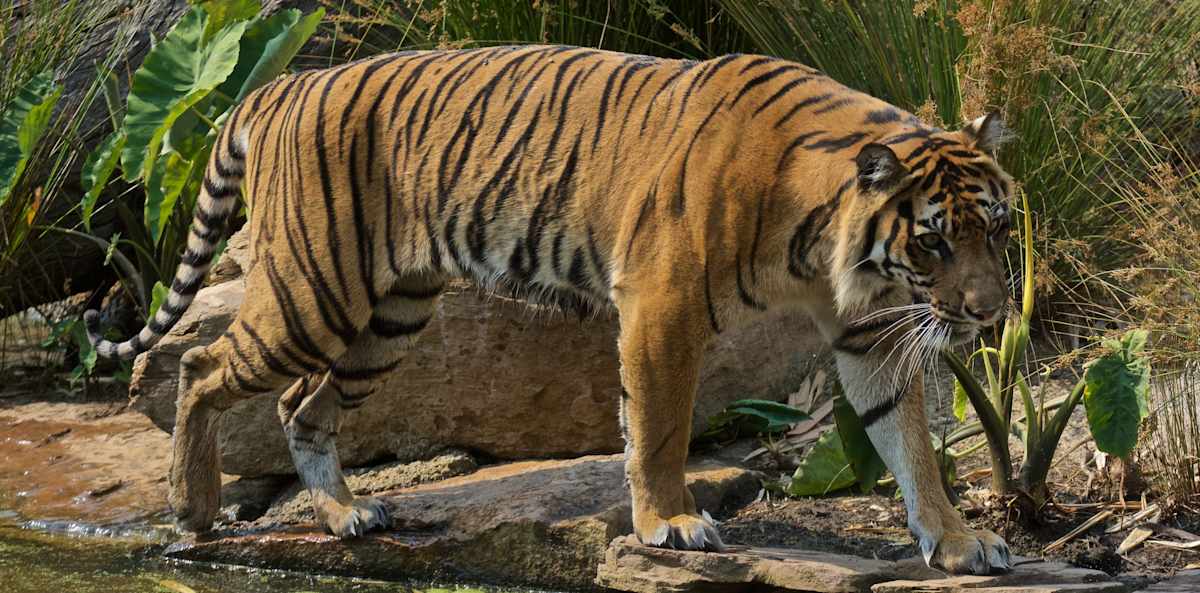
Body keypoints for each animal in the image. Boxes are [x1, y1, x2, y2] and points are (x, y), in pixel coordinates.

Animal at [87, 45, 1016, 574]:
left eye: (1001, 228)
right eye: (934, 241)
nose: (991, 314)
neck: (824, 243)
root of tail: (280, 87)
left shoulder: (873, 327)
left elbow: (912, 445)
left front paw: (958, 541)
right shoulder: (662, 301)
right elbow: (660, 425)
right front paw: (672, 522)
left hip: (389, 315)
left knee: (298, 405)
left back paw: (346, 513)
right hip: (312, 292)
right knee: (202, 365)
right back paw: (193, 504)